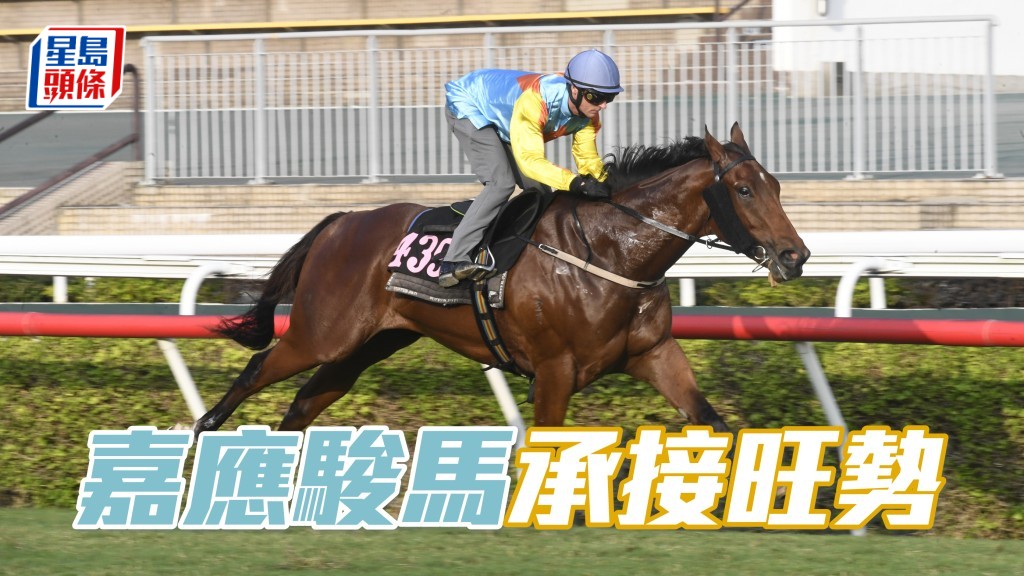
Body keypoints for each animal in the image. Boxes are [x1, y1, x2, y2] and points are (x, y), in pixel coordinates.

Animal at [195, 123, 810, 435]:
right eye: (744, 190)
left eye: (777, 185)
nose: (796, 254)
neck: (612, 256)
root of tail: (342, 221)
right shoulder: (555, 371)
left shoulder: (654, 353)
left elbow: (714, 419)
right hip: (323, 332)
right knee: (256, 370)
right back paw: (204, 433)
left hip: (370, 343)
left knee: (305, 402)